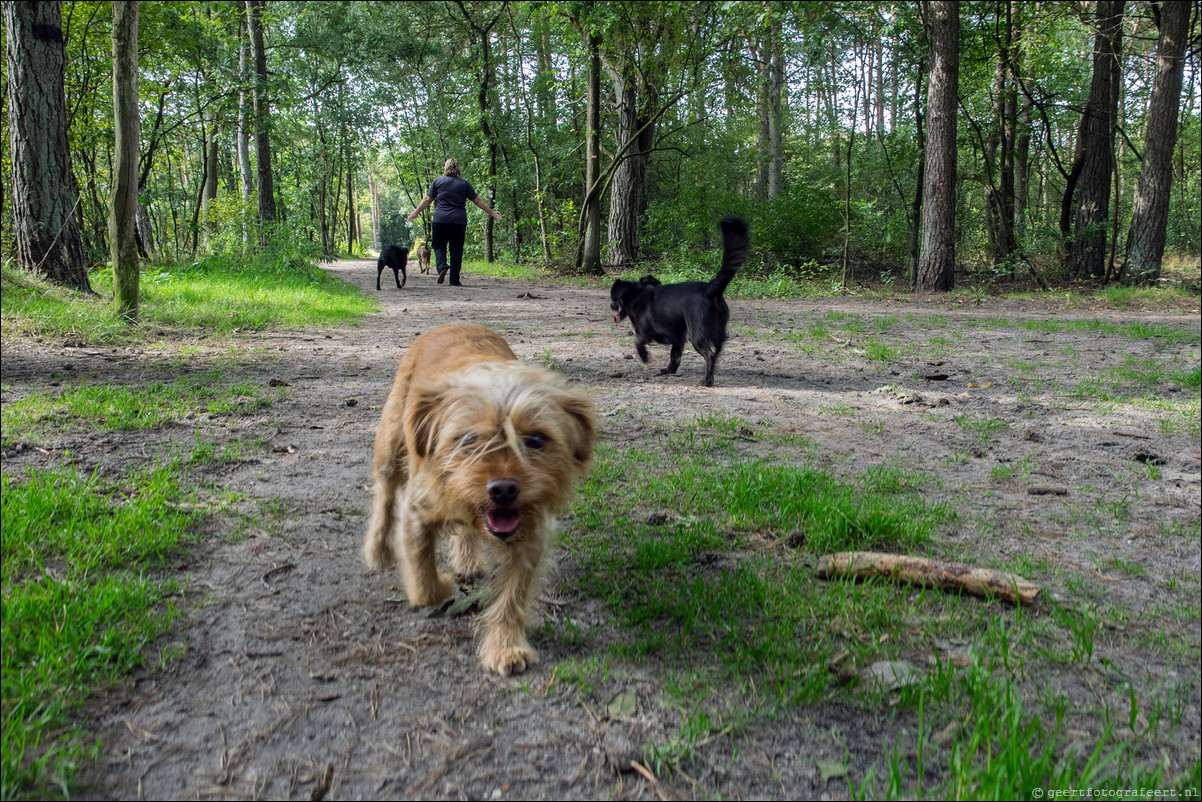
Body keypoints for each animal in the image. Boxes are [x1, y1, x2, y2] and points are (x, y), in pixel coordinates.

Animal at [363, 322, 593, 673]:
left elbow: (513, 596)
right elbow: (424, 582)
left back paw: (468, 559)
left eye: (536, 439)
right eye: (469, 440)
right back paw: (377, 550)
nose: (503, 488)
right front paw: (442, 586)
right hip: (390, 443)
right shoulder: (417, 513)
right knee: (385, 495)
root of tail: (451, 322)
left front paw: (506, 646)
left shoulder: (531, 535)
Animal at [615, 216, 745, 384]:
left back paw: (706, 381)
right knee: (716, 353)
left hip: (697, 334)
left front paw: (644, 357)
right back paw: (710, 376)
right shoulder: (678, 338)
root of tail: (709, 289)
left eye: (615, 300)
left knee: (709, 355)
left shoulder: (645, 333)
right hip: (718, 332)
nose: (611, 305)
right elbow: (674, 356)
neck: (638, 295)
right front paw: (669, 370)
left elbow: (638, 342)